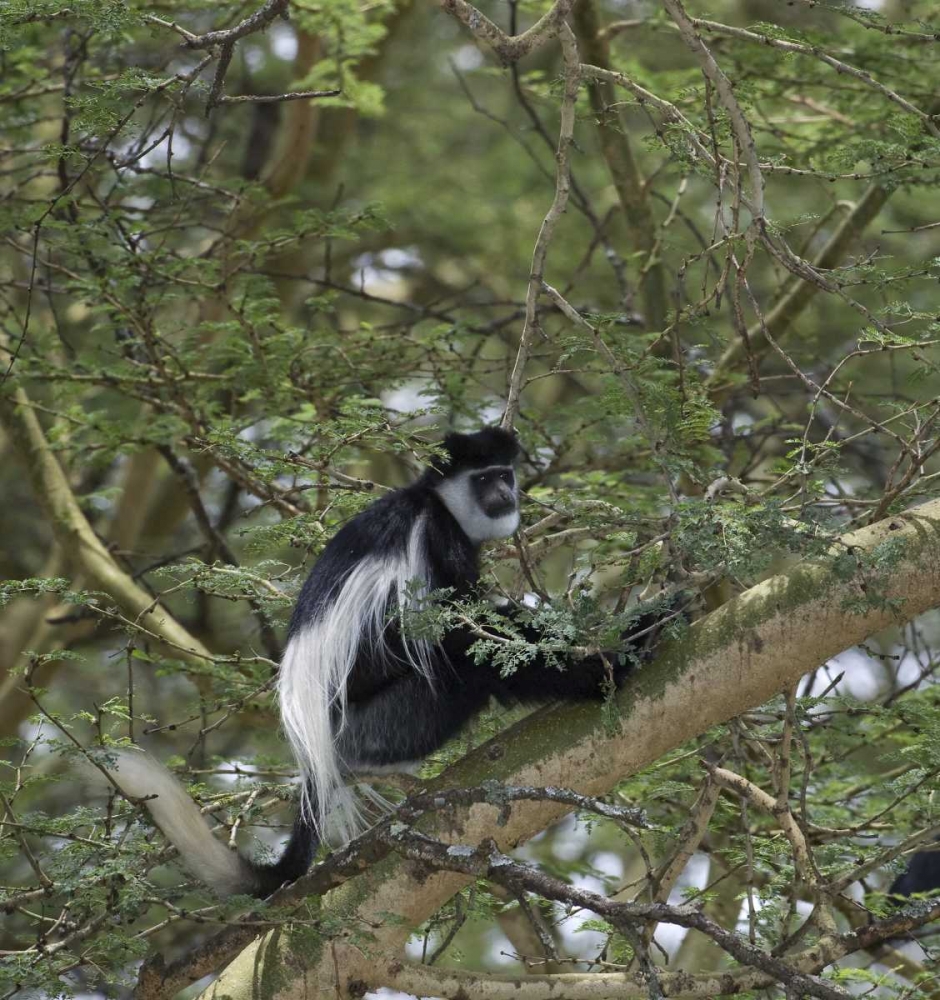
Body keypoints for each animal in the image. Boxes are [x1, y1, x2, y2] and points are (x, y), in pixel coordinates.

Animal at [106, 426, 668, 896]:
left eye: (505, 475)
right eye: (484, 479)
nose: (506, 496)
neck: (432, 500)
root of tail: (315, 750)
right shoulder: (438, 538)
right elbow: (459, 631)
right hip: (378, 723)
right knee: (462, 668)